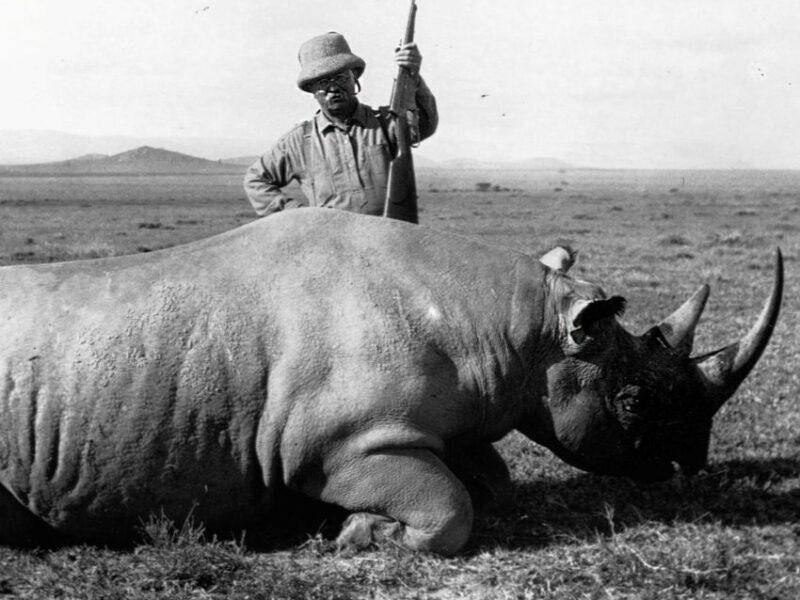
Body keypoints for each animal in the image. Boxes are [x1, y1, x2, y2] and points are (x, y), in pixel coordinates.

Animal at [0, 208, 783, 554]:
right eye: (633, 400)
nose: (689, 465)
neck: (522, 330)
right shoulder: (341, 444)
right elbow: (452, 508)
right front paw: (356, 533)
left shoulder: (444, 421)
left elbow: (490, 482)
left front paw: (346, 526)